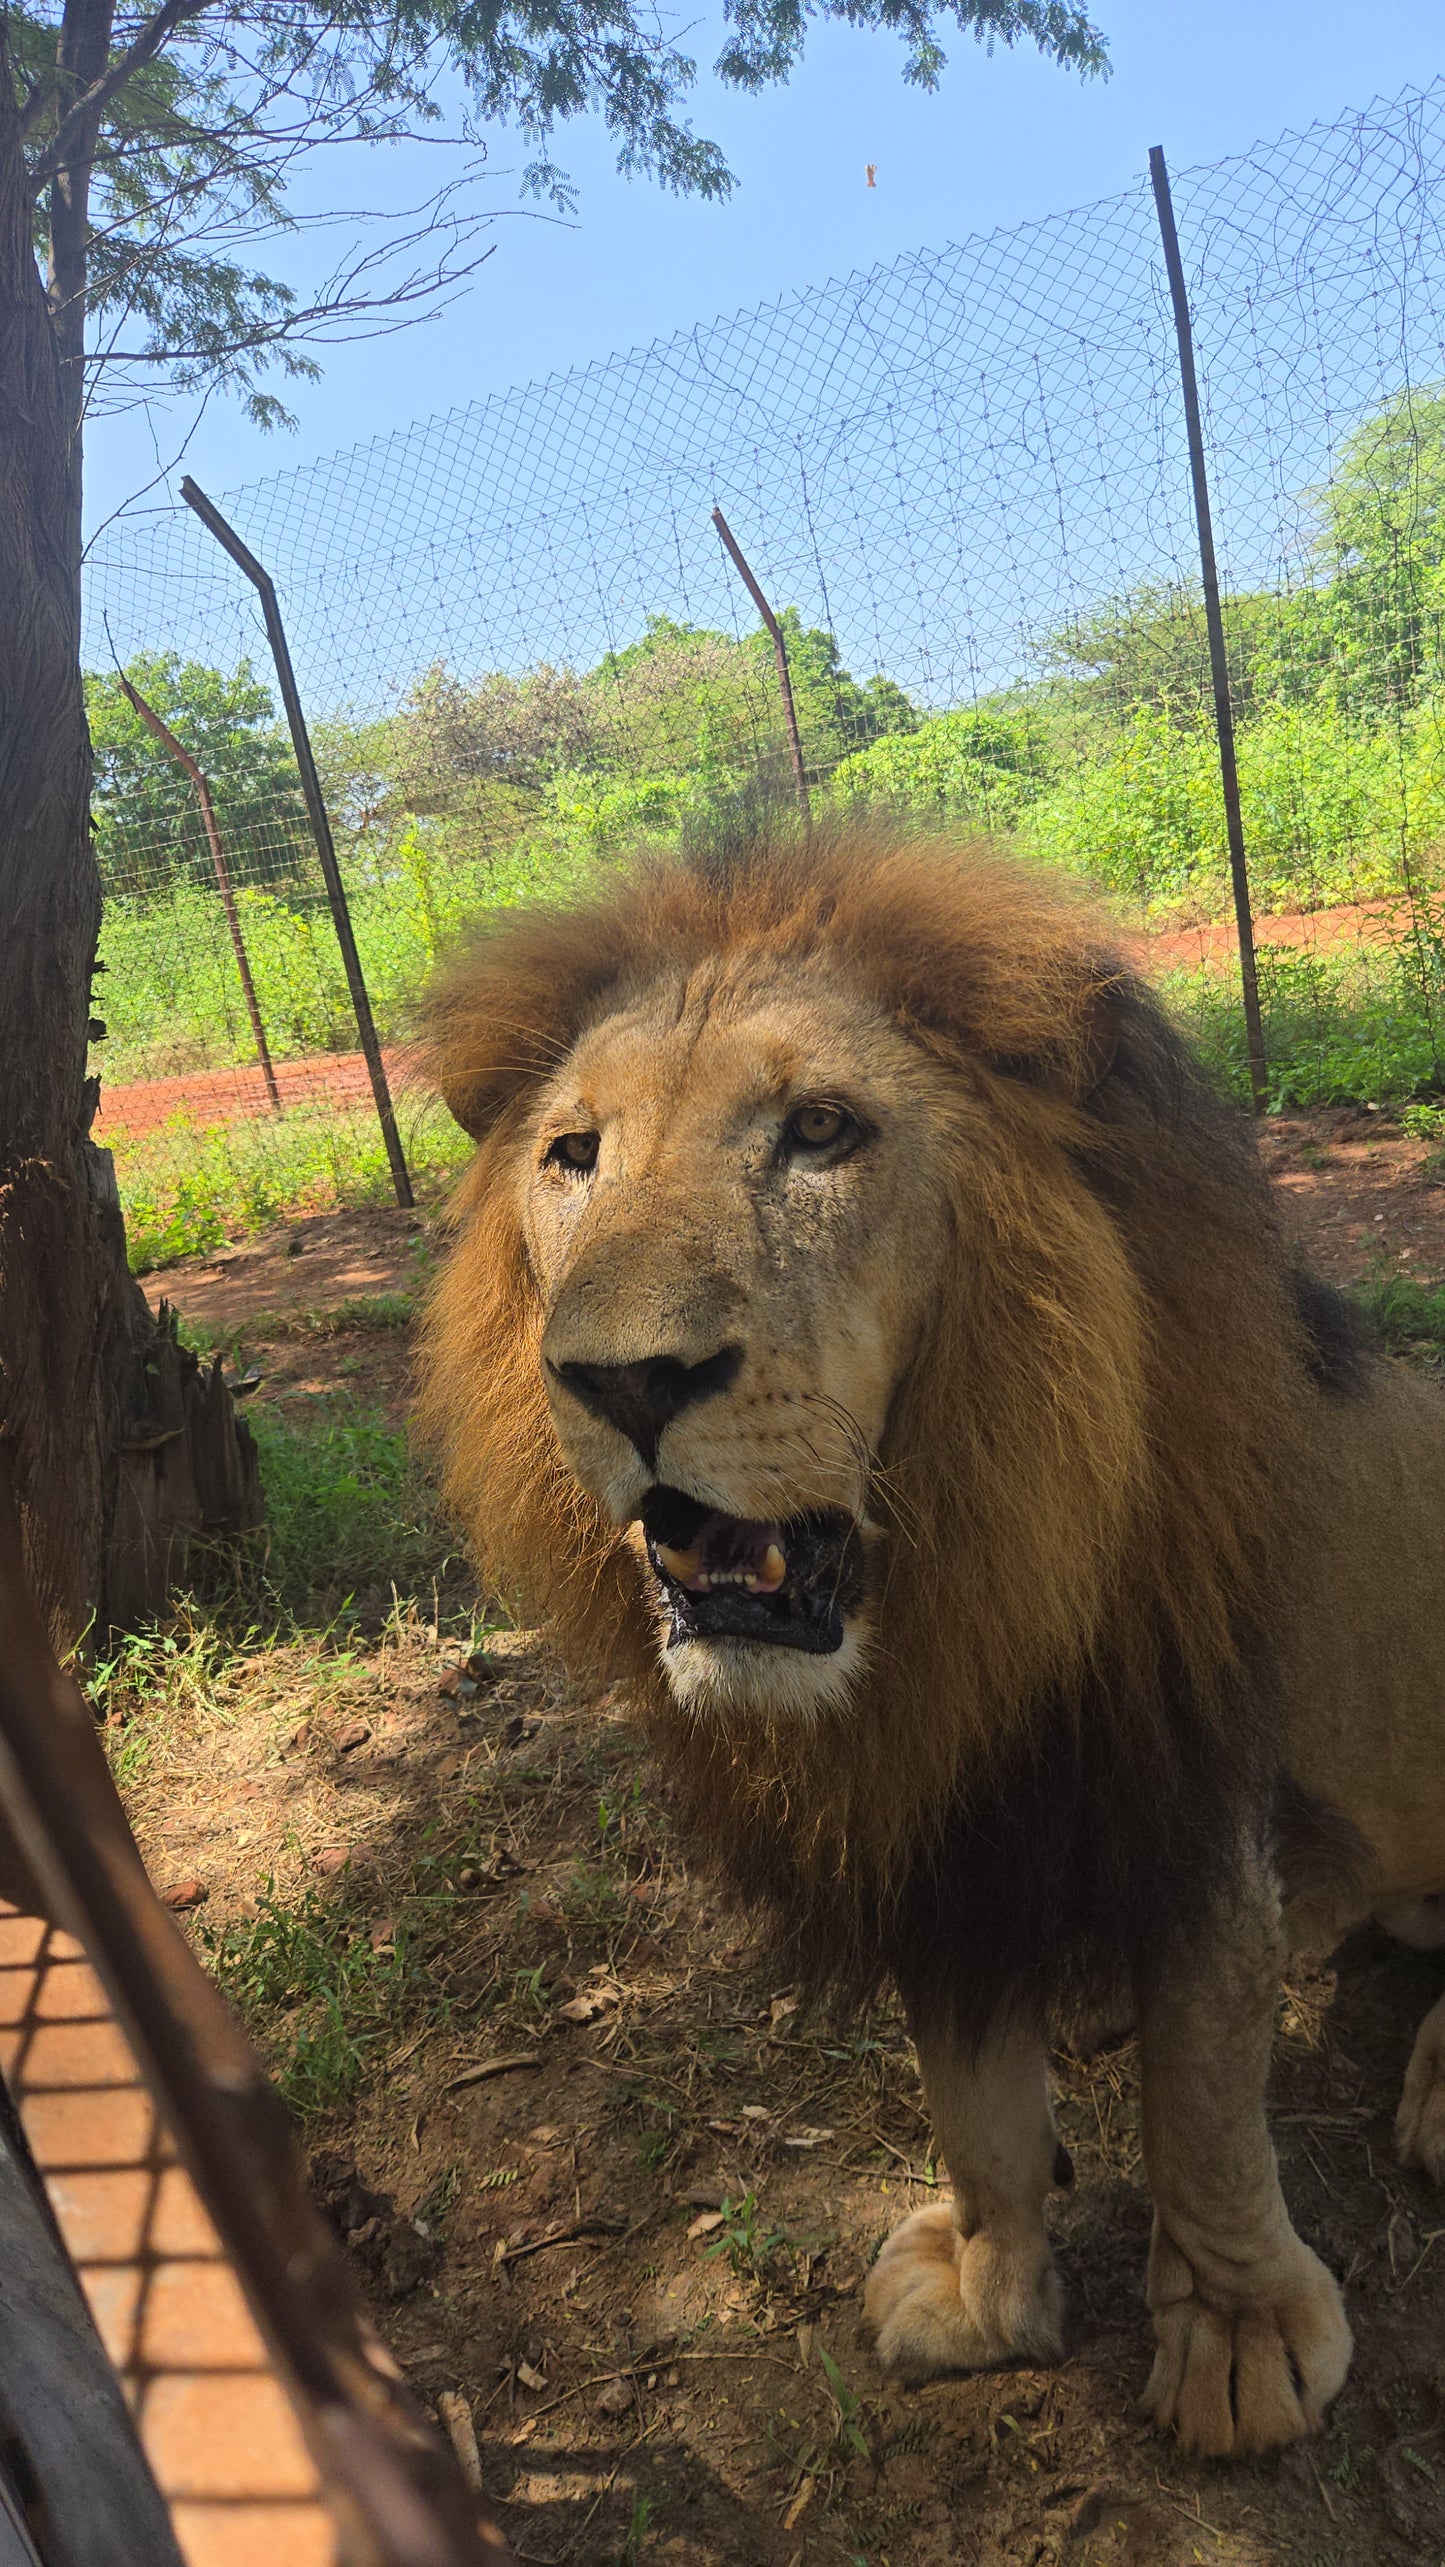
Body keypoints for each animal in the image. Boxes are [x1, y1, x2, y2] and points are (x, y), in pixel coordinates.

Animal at [418, 821, 1445, 2458]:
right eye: (571, 1155)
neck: (949, 1598)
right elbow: (973, 2099)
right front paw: (984, 2290)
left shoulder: (1187, 1792)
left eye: (820, 1129)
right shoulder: (929, 1826)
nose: (620, 1379)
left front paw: (1234, 2334)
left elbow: (1207, 2100)